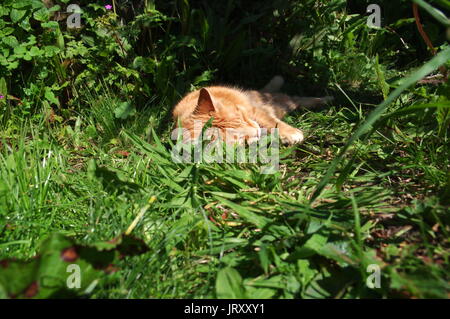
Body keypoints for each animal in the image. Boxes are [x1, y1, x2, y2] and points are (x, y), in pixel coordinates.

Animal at [173, 76, 334, 145]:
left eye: (241, 118)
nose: (256, 131)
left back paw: (326, 100)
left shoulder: (256, 112)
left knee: (296, 99)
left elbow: (272, 122)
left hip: (281, 103)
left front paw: (291, 133)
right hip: (281, 107)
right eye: (238, 137)